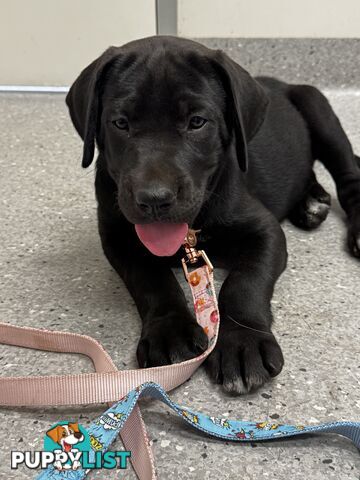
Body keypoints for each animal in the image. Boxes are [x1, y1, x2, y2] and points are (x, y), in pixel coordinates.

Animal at [65, 34, 360, 394]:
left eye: (196, 122)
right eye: (120, 123)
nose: (154, 199)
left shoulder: (266, 232)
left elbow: (245, 282)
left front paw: (243, 341)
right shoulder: (118, 239)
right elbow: (151, 279)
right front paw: (171, 332)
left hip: (318, 107)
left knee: (349, 173)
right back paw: (310, 201)